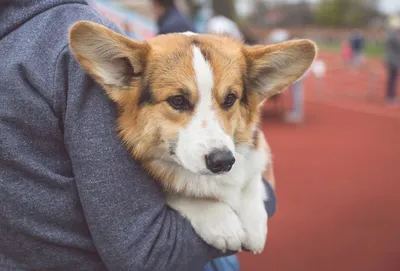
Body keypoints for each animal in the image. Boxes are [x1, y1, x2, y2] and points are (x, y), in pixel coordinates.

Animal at [69, 21, 316, 255]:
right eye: (177, 100)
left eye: (230, 99)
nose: (223, 161)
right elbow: (181, 192)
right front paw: (221, 221)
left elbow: (251, 178)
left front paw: (254, 221)